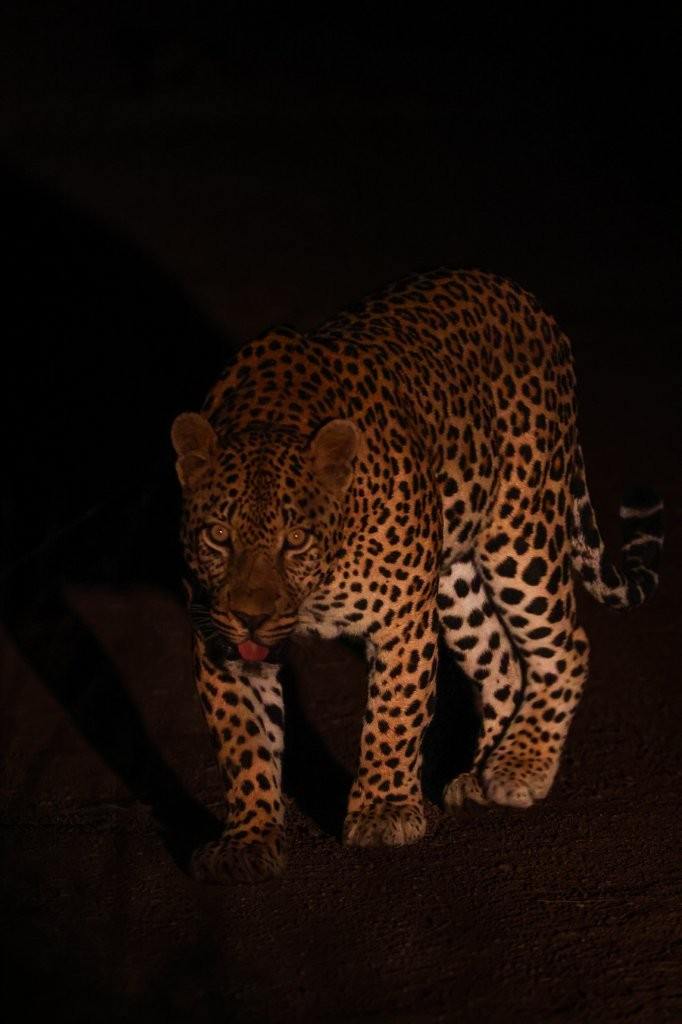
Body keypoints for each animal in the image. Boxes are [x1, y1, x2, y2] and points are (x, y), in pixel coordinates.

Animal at [171, 268, 663, 882]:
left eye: (296, 540)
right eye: (218, 535)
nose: (252, 617)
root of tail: (520, 295)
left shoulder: (401, 621)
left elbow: (394, 715)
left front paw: (383, 811)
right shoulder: (217, 640)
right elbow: (244, 743)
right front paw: (248, 839)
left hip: (519, 531)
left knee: (565, 645)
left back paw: (520, 764)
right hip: (454, 581)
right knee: (502, 662)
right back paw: (481, 772)